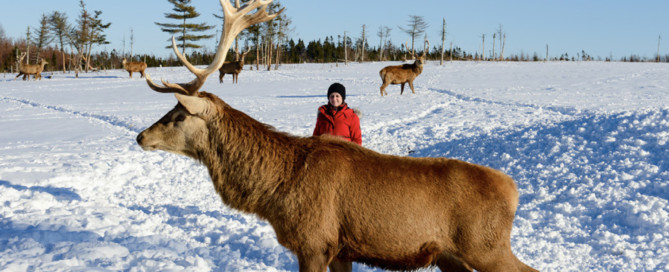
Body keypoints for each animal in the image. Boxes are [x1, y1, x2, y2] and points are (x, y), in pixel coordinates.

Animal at [133, 0, 536, 272]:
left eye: (178, 114)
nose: (140, 136)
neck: (274, 192)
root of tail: (514, 189)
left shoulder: (314, 242)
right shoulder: (343, 249)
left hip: (486, 247)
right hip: (452, 256)